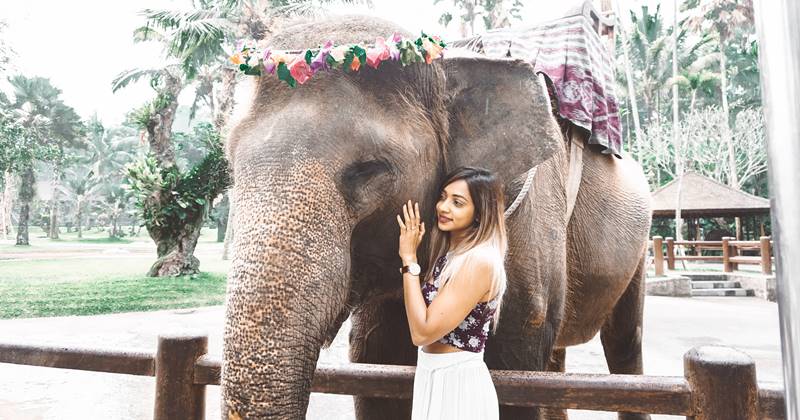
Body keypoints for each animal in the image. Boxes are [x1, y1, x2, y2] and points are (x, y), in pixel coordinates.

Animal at [222, 15, 652, 420]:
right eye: (231, 167)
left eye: (369, 170)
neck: (450, 65)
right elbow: (375, 367)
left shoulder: (529, 223)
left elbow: (517, 378)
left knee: (624, 342)